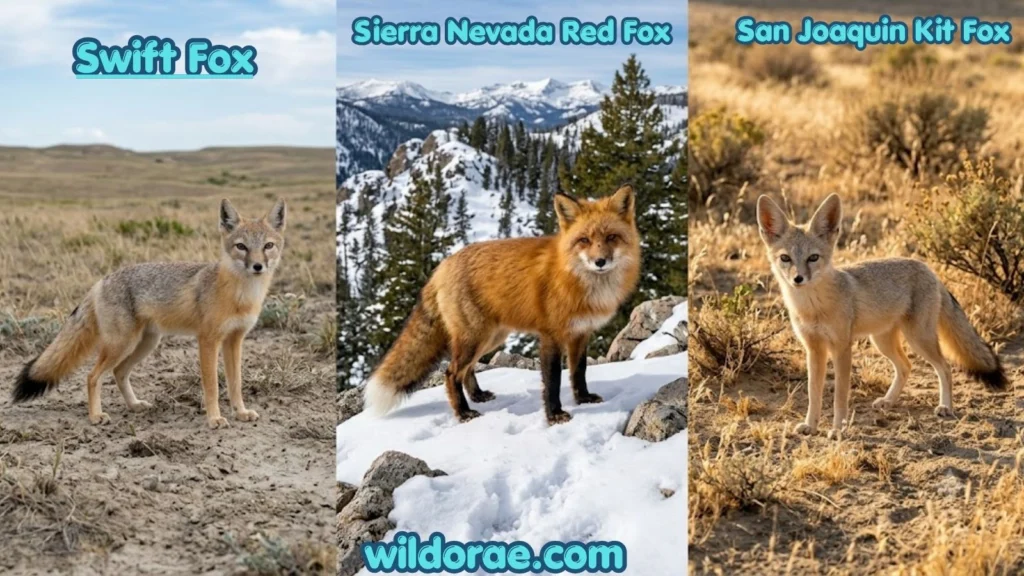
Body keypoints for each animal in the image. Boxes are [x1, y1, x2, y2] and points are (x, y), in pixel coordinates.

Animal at [11, 198, 287, 429]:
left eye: (268, 246)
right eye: (241, 246)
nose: (258, 266)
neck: (240, 296)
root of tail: (102, 280)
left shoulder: (234, 340)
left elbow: (235, 383)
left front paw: (241, 412)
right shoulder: (208, 340)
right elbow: (211, 386)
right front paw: (214, 418)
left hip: (145, 344)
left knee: (118, 372)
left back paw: (134, 405)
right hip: (122, 344)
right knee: (92, 376)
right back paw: (95, 416)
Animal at [364, 185, 641, 425]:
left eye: (612, 237)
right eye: (584, 240)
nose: (600, 261)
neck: (576, 280)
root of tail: (441, 267)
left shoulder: (580, 333)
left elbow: (578, 371)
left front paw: (583, 399)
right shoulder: (551, 335)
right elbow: (553, 381)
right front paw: (554, 415)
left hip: (490, 338)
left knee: (467, 370)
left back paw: (477, 395)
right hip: (474, 337)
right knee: (451, 373)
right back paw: (463, 412)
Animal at [756, 193, 1006, 438]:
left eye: (813, 258)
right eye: (785, 258)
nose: (798, 279)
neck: (813, 308)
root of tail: (929, 269)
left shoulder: (841, 348)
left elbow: (840, 396)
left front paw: (838, 429)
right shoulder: (814, 349)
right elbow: (813, 394)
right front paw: (811, 425)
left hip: (918, 339)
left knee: (944, 367)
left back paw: (945, 406)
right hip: (882, 341)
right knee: (906, 366)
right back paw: (888, 401)